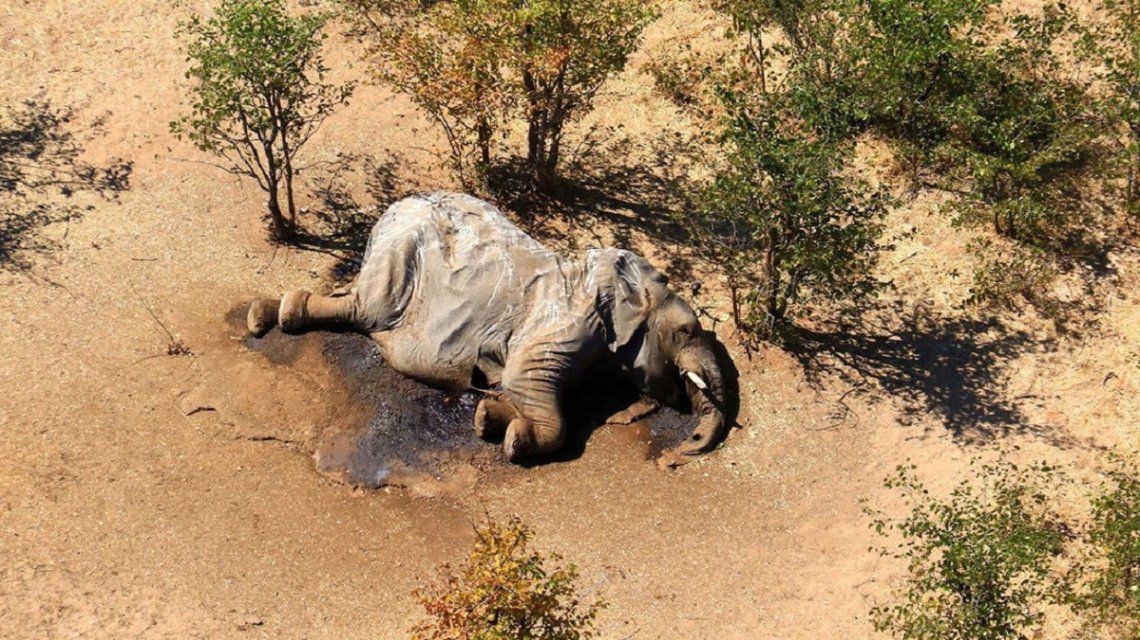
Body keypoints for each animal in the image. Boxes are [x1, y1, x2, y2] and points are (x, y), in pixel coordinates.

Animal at [246, 192, 732, 463]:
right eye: (687, 331)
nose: (684, 449)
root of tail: (393, 207)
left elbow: (519, 388)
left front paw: (487, 418)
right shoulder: (568, 322)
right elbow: (526, 380)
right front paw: (516, 440)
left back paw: (267, 313)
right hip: (399, 254)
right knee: (366, 309)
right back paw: (275, 315)